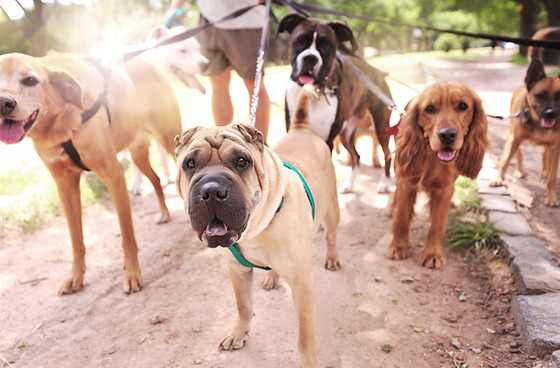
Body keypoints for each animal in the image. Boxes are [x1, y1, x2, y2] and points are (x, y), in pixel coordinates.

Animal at [0, 52, 182, 294]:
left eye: (30, 80)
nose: (4, 103)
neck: (61, 120)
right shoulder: (65, 186)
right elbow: (76, 240)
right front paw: (76, 276)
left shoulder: (113, 175)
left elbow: (127, 236)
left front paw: (132, 274)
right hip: (138, 155)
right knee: (155, 178)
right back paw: (163, 212)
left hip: (172, 143)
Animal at [175, 84, 342, 368]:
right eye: (190, 163)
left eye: (242, 161)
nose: (211, 191)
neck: (258, 228)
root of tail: (301, 130)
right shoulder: (238, 271)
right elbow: (243, 306)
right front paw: (239, 333)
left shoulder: (303, 283)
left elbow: (304, 335)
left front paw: (308, 360)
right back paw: (272, 276)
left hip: (332, 210)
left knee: (331, 235)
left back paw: (332, 258)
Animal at [388, 81, 488, 268]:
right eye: (430, 108)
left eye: (463, 106)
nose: (447, 134)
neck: (432, 156)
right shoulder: (408, 183)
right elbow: (402, 218)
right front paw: (397, 247)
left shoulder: (444, 189)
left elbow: (437, 226)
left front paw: (432, 253)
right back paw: (392, 208)